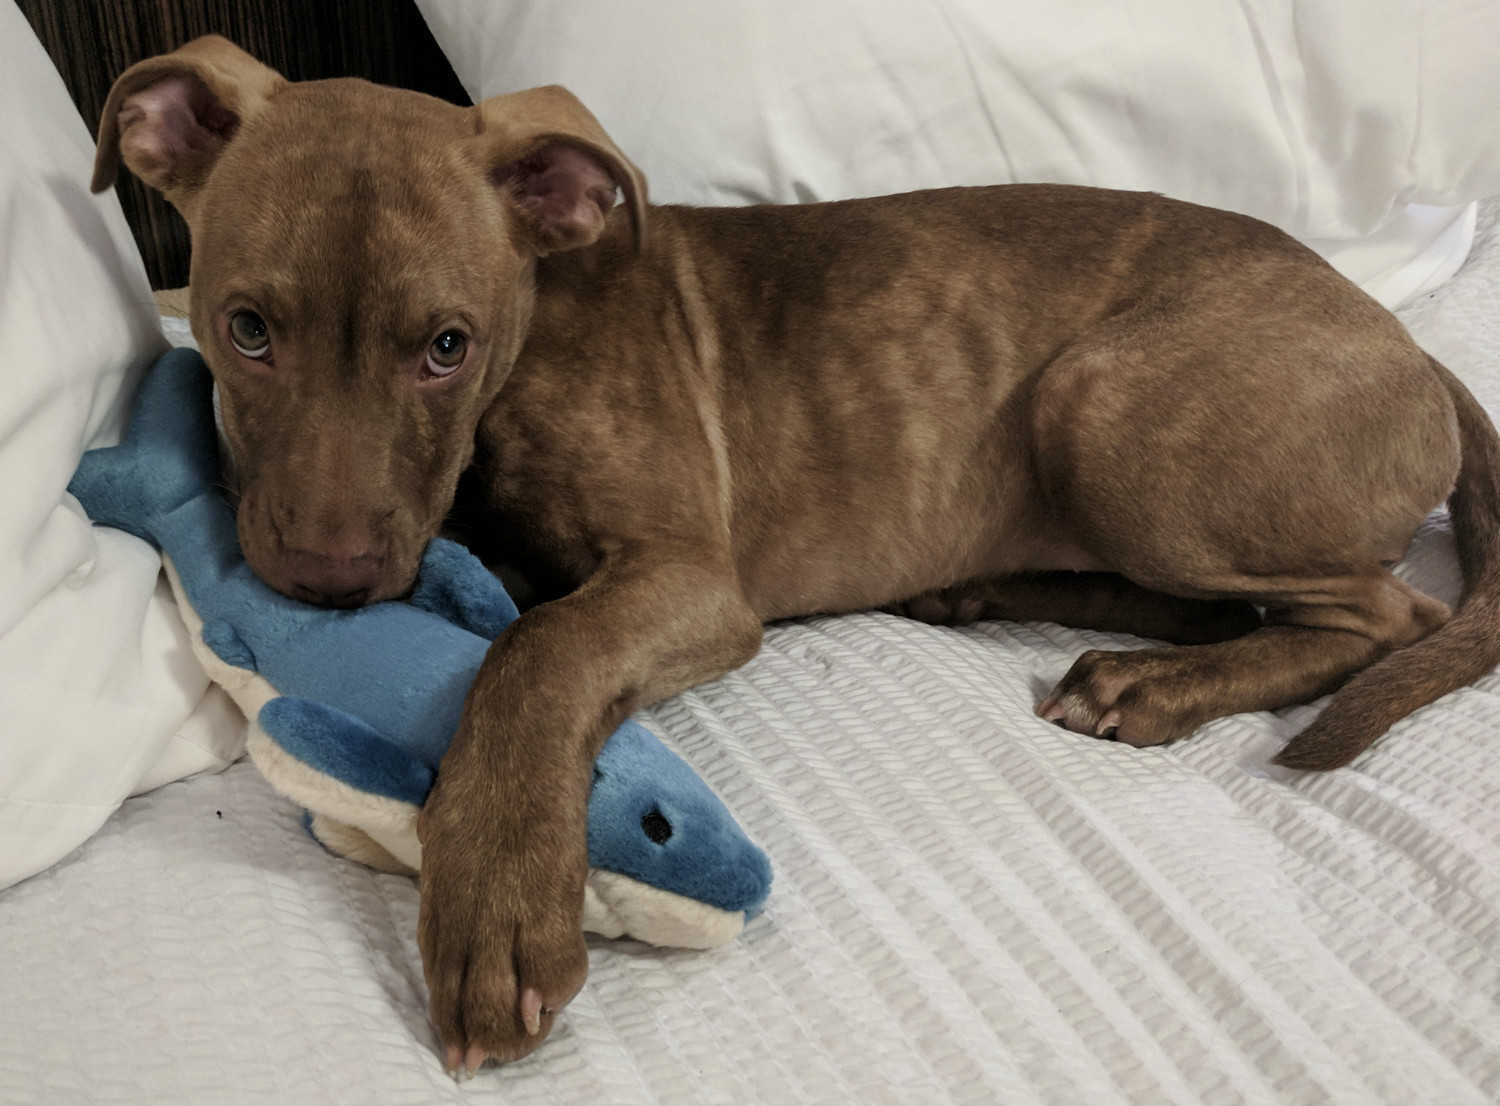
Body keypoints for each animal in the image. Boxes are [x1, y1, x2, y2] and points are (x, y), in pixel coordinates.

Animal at [93, 38, 1500, 1074]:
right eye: (244, 330)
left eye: (447, 345)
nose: (325, 589)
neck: (531, 340)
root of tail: (1406, 346)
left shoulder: (689, 580)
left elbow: (539, 649)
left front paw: (494, 894)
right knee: (1232, 608)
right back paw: (1004, 595)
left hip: (1101, 404)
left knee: (1388, 618)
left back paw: (1153, 684)